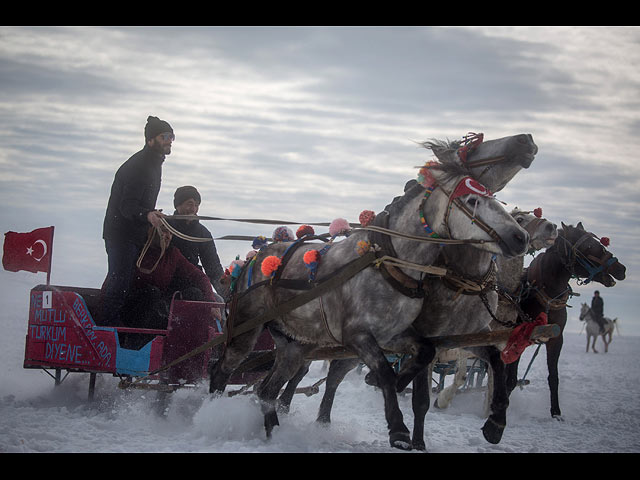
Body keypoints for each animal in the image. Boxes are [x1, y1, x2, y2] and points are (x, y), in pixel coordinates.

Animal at [508, 222, 628, 420]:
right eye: (589, 246)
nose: (621, 269)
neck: (545, 297)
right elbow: (508, 377)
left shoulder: (556, 339)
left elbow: (553, 377)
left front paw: (556, 413)